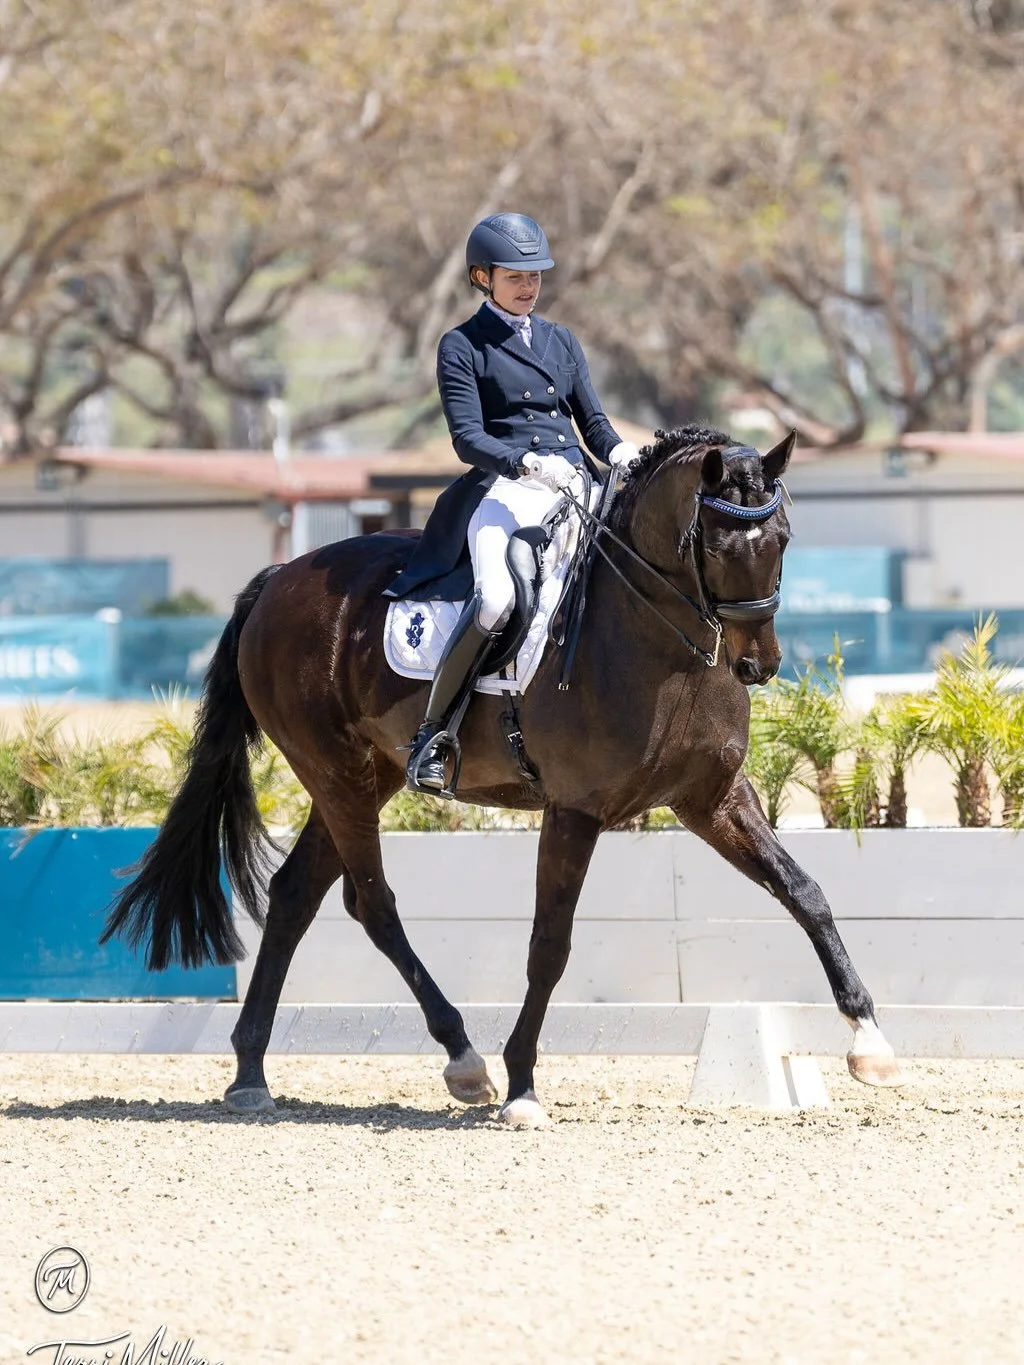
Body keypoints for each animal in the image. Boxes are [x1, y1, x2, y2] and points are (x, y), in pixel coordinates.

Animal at [102, 423, 903, 1127]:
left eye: (783, 539)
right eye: (714, 542)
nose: (758, 664)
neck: (658, 644)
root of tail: (278, 579)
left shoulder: (713, 799)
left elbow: (805, 893)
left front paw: (871, 1044)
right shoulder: (575, 810)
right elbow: (549, 945)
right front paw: (522, 1085)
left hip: (364, 774)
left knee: (298, 894)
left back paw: (250, 1075)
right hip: (333, 772)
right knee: (373, 903)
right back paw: (464, 1061)